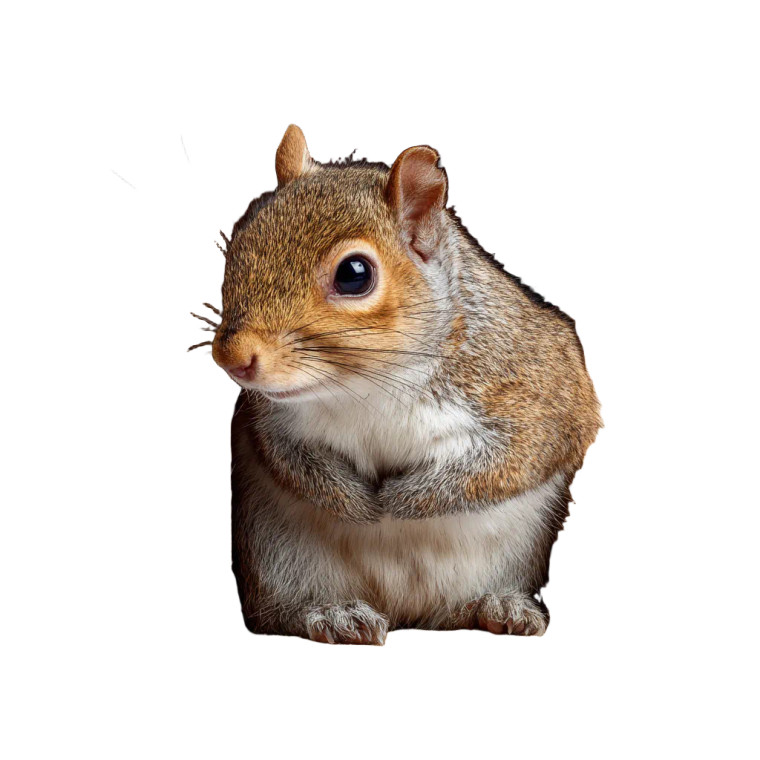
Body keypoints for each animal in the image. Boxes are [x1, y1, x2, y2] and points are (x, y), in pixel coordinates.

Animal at [200, 125, 601, 645]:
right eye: (239, 243)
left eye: (354, 274)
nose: (232, 357)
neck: (366, 387)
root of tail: (404, 613)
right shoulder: (270, 415)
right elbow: (285, 456)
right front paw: (352, 503)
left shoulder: (537, 387)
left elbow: (519, 457)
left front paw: (402, 501)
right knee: (278, 615)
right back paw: (332, 613)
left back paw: (497, 606)